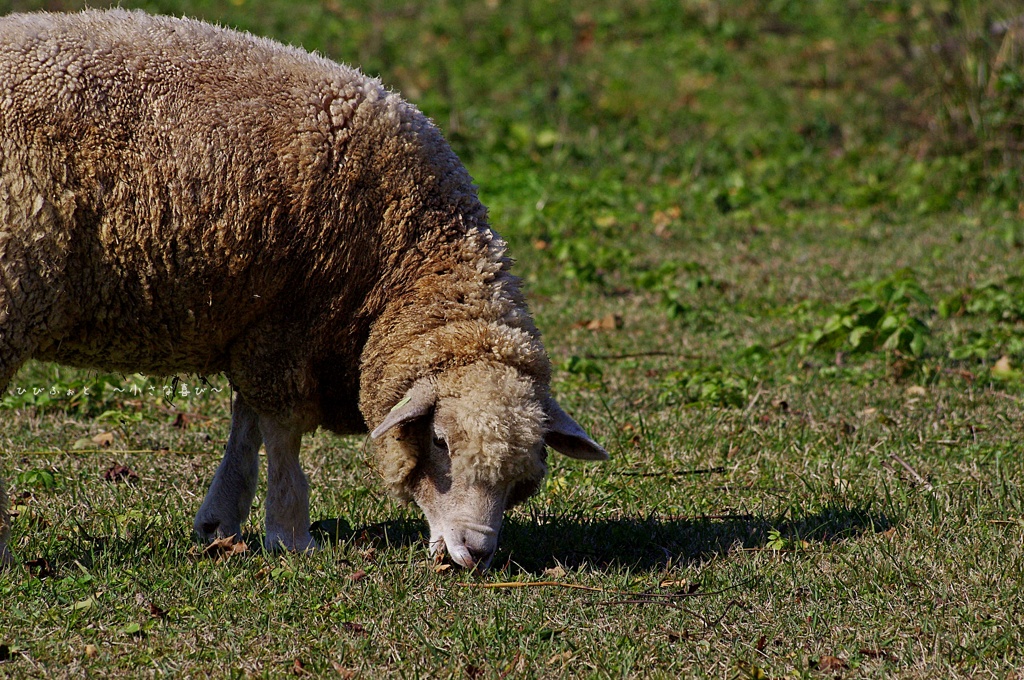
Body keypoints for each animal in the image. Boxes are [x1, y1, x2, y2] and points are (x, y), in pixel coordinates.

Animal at [0, 10, 606, 569]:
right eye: (439, 441)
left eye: (523, 477)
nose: (475, 551)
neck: (403, 255)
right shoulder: (290, 323)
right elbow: (283, 434)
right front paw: (290, 533)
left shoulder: (256, 326)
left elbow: (245, 425)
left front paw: (221, 521)